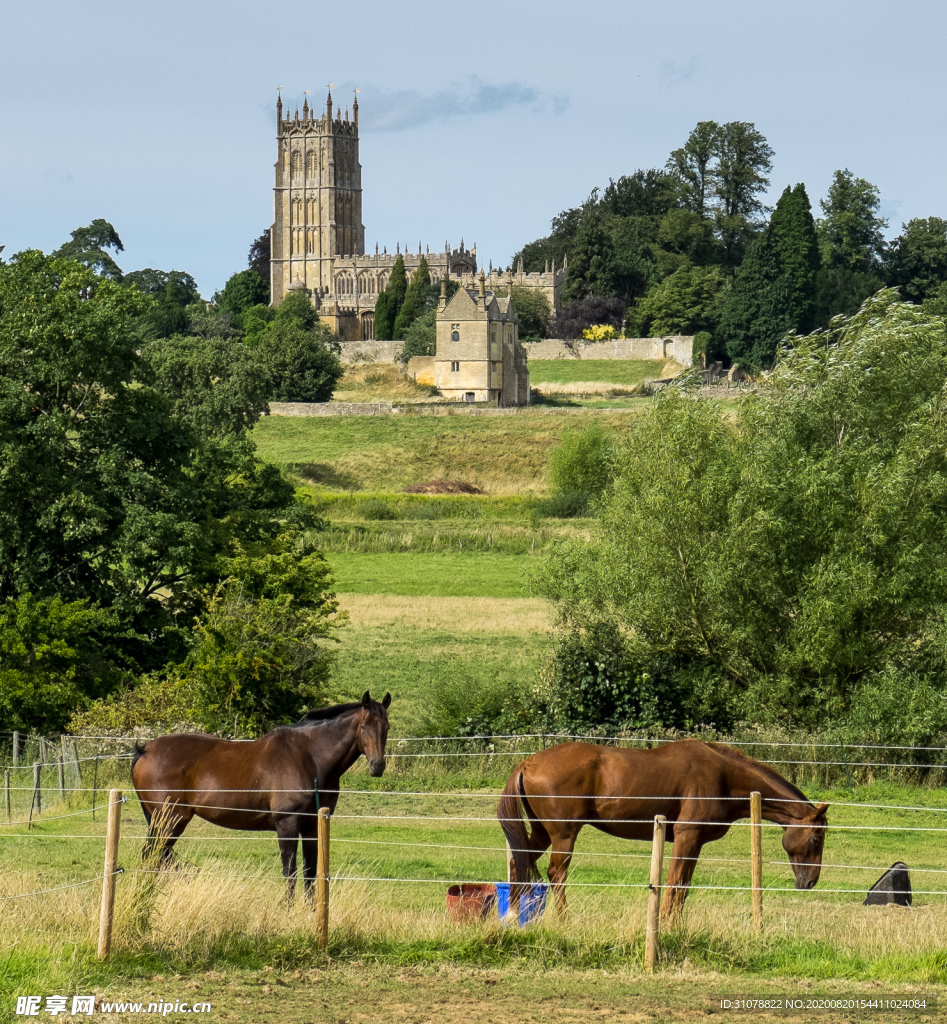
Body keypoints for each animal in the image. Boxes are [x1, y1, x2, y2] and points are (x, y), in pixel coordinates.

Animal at [131, 692, 389, 901]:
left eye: (386, 727)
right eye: (364, 726)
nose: (377, 767)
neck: (310, 757)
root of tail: (145, 750)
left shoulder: (311, 826)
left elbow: (309, 872)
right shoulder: (287, 824)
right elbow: (290, 871)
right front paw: (287, 911)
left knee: (156, 857)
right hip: (171, 820)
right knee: (153, 856)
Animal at [495, 741, 827, 917]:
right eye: (816, 837)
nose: (810, 882)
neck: (723, 777)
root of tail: (528, 762)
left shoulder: (695, 843)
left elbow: (683, 887)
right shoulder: (685, 837)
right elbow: (673, 883)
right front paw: (665, 924)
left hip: (541, 833)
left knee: (518, 863)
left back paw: (512, 916)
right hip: (564, 835)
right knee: (556, 875)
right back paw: (564, 919)